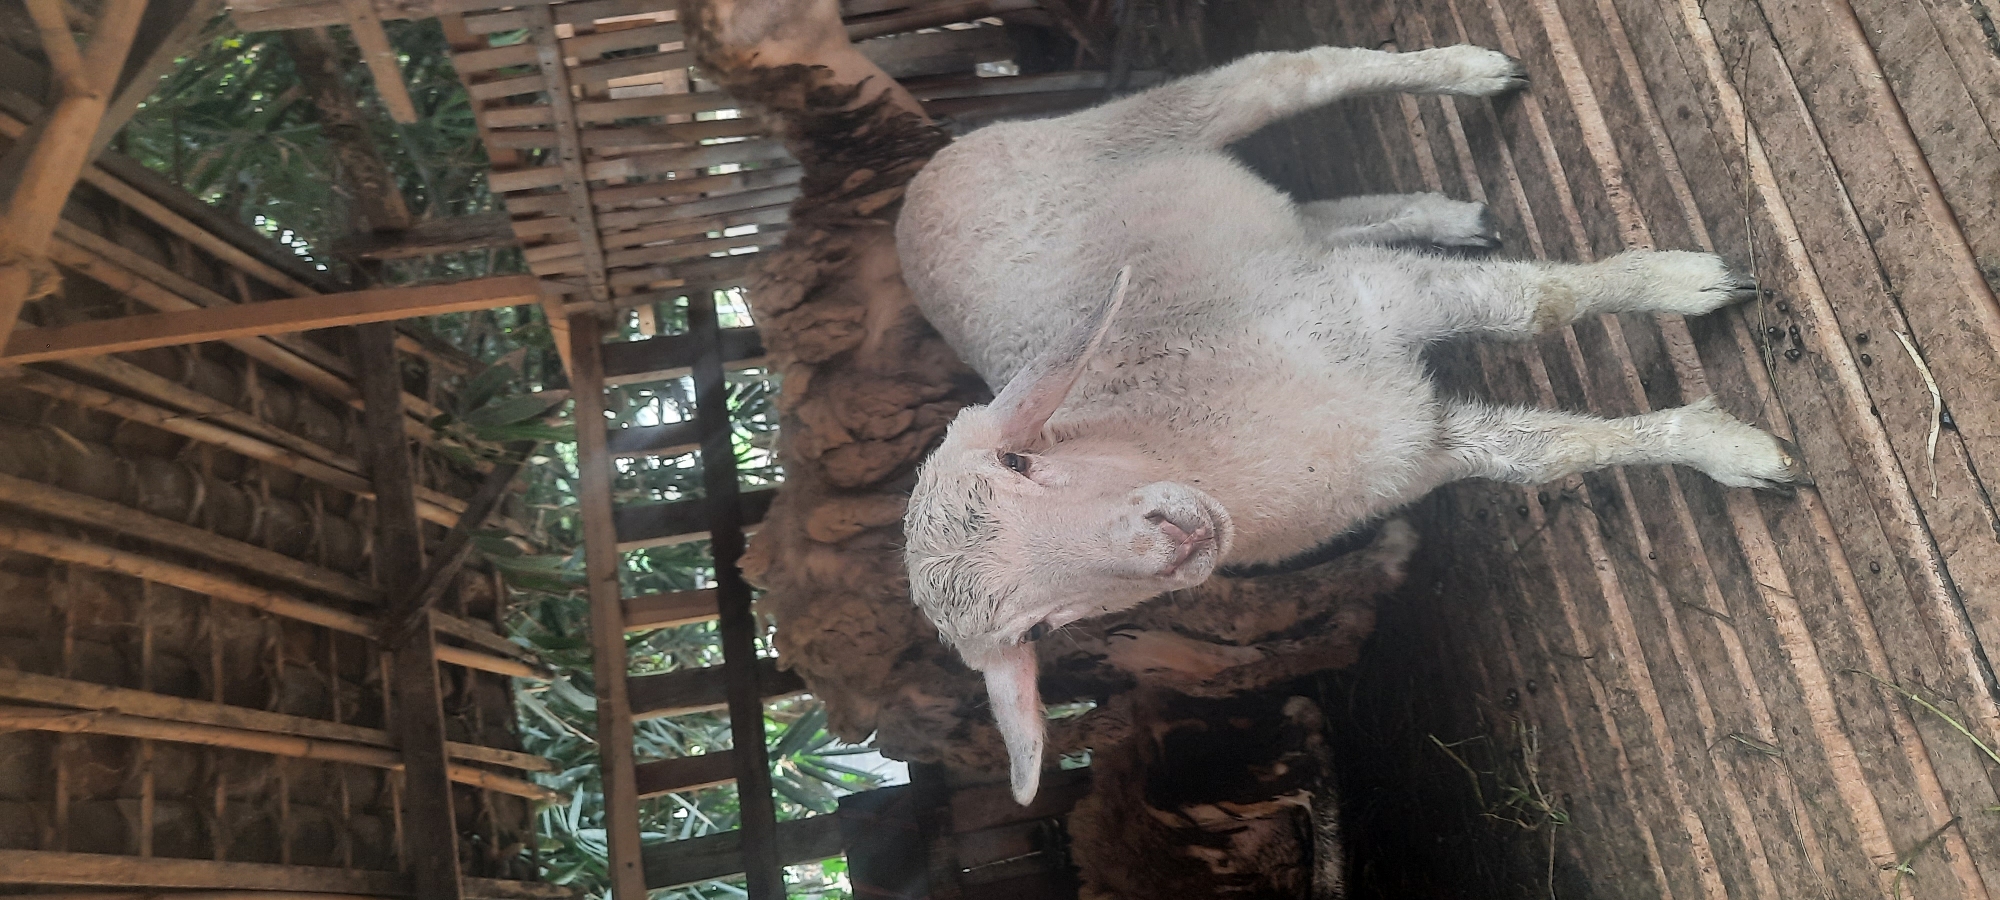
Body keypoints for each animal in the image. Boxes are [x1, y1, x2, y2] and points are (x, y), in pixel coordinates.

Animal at [894, 43, 1809, 805]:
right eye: (1038, 629)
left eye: (1021, 460)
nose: (1175, 540)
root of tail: (916, 192)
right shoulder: (1414, 447)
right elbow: (1548, 455)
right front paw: (1729, 448)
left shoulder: (1370, 299)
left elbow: (1538, 305)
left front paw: (1685, 287)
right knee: (1310, 213)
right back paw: (1451, 215)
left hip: (1147, 125)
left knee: (1298, 72)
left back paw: (1475, 74)